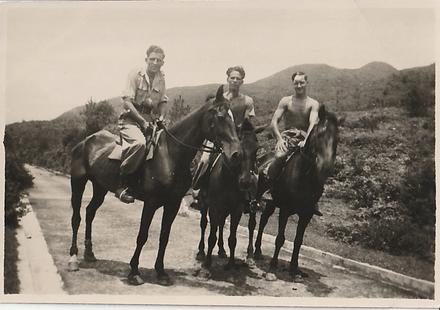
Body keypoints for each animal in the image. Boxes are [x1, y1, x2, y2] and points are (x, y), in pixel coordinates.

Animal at [69, 85, 242, 286]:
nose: (237, 154)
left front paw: (160, 271)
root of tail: (86, 141)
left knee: (90, 212)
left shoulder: (173, 204)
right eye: (221, 116)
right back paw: (73, 258)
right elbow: (142, 235)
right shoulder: (150, 203)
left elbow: (164, 237)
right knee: (76, 218)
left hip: (100, 187)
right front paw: (134, 271)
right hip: (78, 183)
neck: (171, 155)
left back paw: (89, 253)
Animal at [196, 116, 262, 272]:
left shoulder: (236, 210)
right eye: (238, 151)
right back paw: (201, 251)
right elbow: (211, 236)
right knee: (204, 224)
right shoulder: (214, 208)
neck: (228, 179)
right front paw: (207, 264)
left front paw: (231, 264)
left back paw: (222, 250)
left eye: (256, 150)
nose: (246, 182)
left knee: (222, 225)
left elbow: (232, 238)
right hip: (204, 204)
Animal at [253, 105, 342, 282]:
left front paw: (294, 268)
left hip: (271, 203)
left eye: (337, 138)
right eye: (319, 134)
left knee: (263, 220)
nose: (326, 166)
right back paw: (252, 251)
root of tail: (262, 160)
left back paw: (258, 250)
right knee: (256, 221)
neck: (304, 176)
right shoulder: (285, 209)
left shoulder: (307, 214)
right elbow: (280, 238)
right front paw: (273, 266)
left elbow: (298, 241)